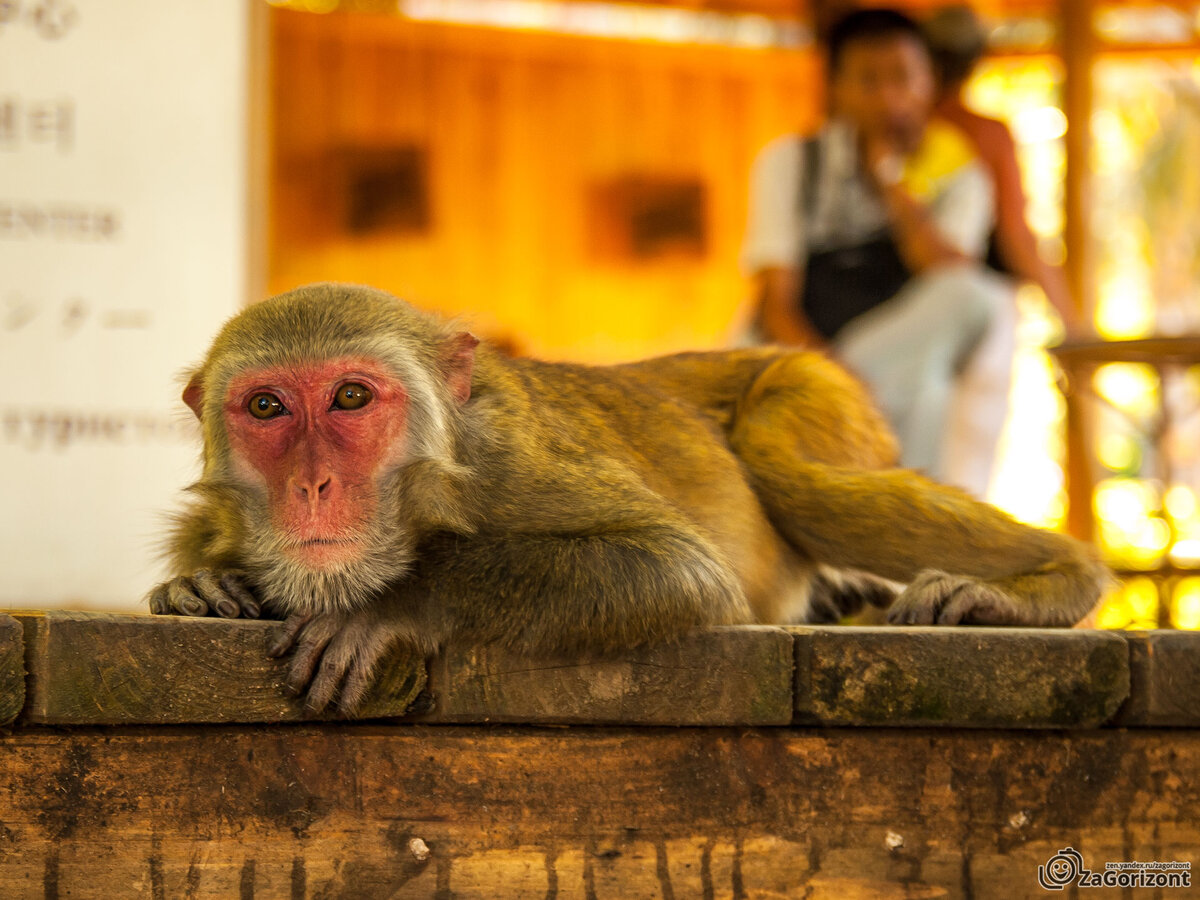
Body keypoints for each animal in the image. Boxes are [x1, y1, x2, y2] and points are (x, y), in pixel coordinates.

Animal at [147, 285, 1104, 715]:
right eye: (267, 408)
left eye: (350, 398)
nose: (313, 484)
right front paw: (199, 586)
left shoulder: (506, 466)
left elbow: (678, 567)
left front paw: (396, 606)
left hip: (810, 392)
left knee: (798, 483)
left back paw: (1052, 583)